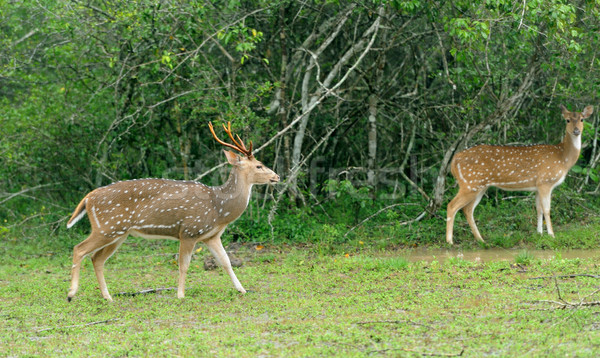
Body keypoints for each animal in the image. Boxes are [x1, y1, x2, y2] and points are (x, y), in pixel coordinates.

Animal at [67, 121, 280, 300]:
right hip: (107, 227)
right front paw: (180, 295)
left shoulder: (211, 236)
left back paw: (108, 297)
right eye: (259, 165)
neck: (219, 210)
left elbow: (226, 261)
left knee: (96, 258)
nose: (277, 176)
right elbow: (183, 265)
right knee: (79, 249)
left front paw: (242, 289)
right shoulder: (189, 230)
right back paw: (71, 294)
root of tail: (88, 198)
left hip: (118, 233)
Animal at [448, 103, 592, 243]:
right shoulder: (545, 181)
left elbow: (538, 209)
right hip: (470, 183)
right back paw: (450, 241)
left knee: (467, 210)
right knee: (452, 206)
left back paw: (480, 240)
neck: (563, 158)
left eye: (582, 119)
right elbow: (547, 209)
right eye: (567, 120)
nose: (576, 131)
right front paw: (551, 235)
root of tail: (454, 160)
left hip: (479, 186)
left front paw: (539, 234)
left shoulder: (537, 186)